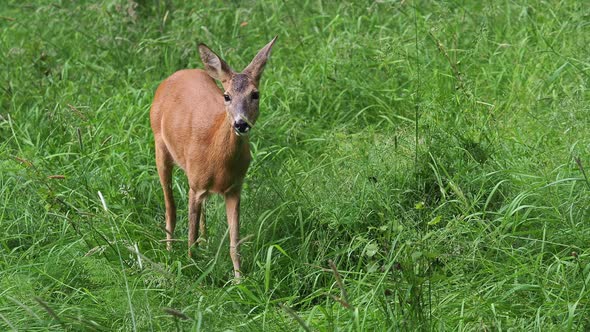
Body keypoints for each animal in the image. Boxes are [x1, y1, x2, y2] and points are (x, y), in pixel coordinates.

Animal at [148, 37, 278, 278]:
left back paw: (205, 243)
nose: (241, 123)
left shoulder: (235, 188)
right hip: (159, 145)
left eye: (255, 94)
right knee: (170, 207)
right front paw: (190, 268)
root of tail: (176, 74)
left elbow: (235, 241)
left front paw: (239, 278)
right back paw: (169, 250)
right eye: (226, 96)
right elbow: (190, 235)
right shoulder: (195, 185)